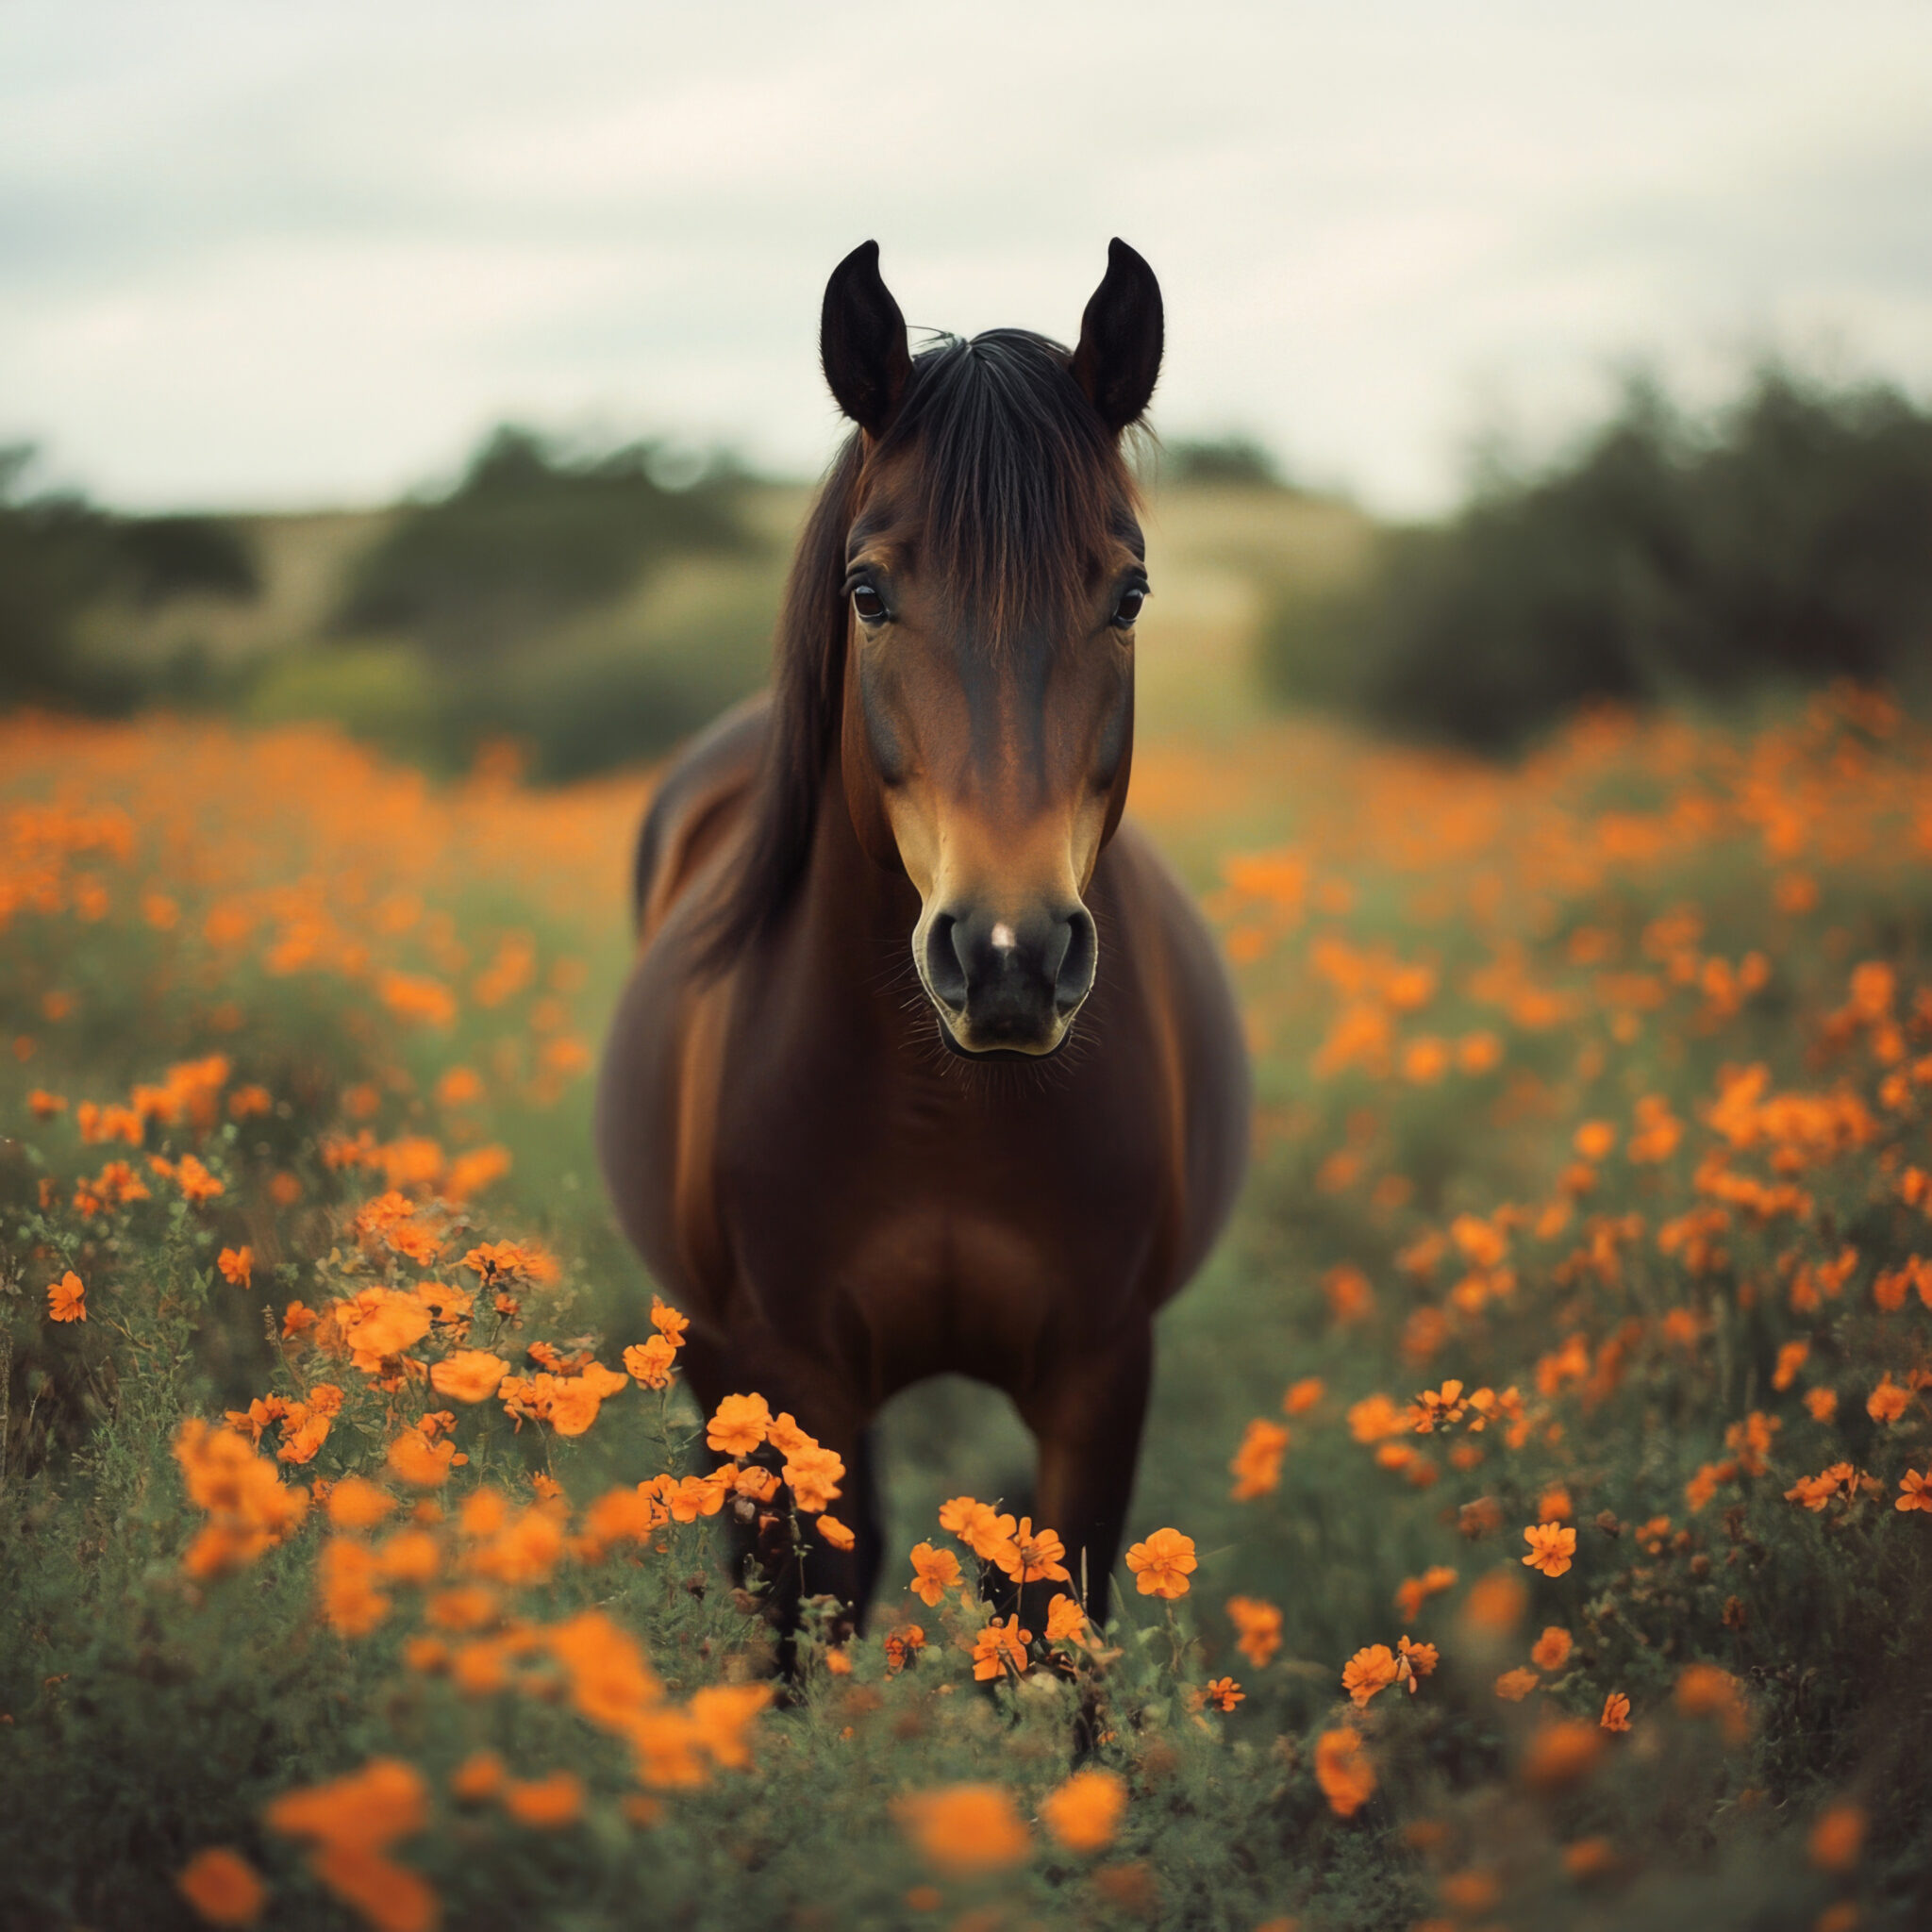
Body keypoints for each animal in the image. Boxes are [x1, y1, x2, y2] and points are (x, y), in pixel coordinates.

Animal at [595, 239, 1249, 1635]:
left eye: (1129, 592)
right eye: (868, 590)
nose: (1008, 959)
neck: (949, 1108)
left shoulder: (1099, 1377)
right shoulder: (788, 1378)